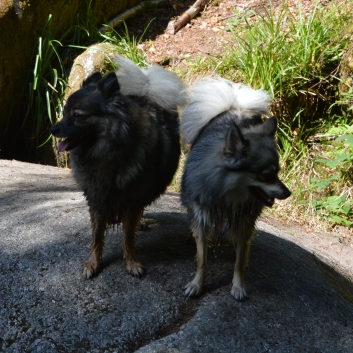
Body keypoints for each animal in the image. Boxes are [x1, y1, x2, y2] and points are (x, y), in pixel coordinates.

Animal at [52, 55, 184, 278]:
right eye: (64, 113)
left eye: (77, 115)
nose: (53, 129)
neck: (108, 152)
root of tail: (147, 94)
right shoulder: (96, 198)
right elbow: (97, 236)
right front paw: (93, 263)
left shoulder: (132, 199)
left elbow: (128, 237)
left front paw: (131, 261)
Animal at [180, 76, 290, 296]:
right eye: (266, 175)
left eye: (278, 172)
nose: (288, 192)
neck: (226, 194)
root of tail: (236, 107)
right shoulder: (202, 216)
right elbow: (202, 258)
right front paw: (197, 284)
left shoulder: (244, 224)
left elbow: (240, 261)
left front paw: (238, 286)